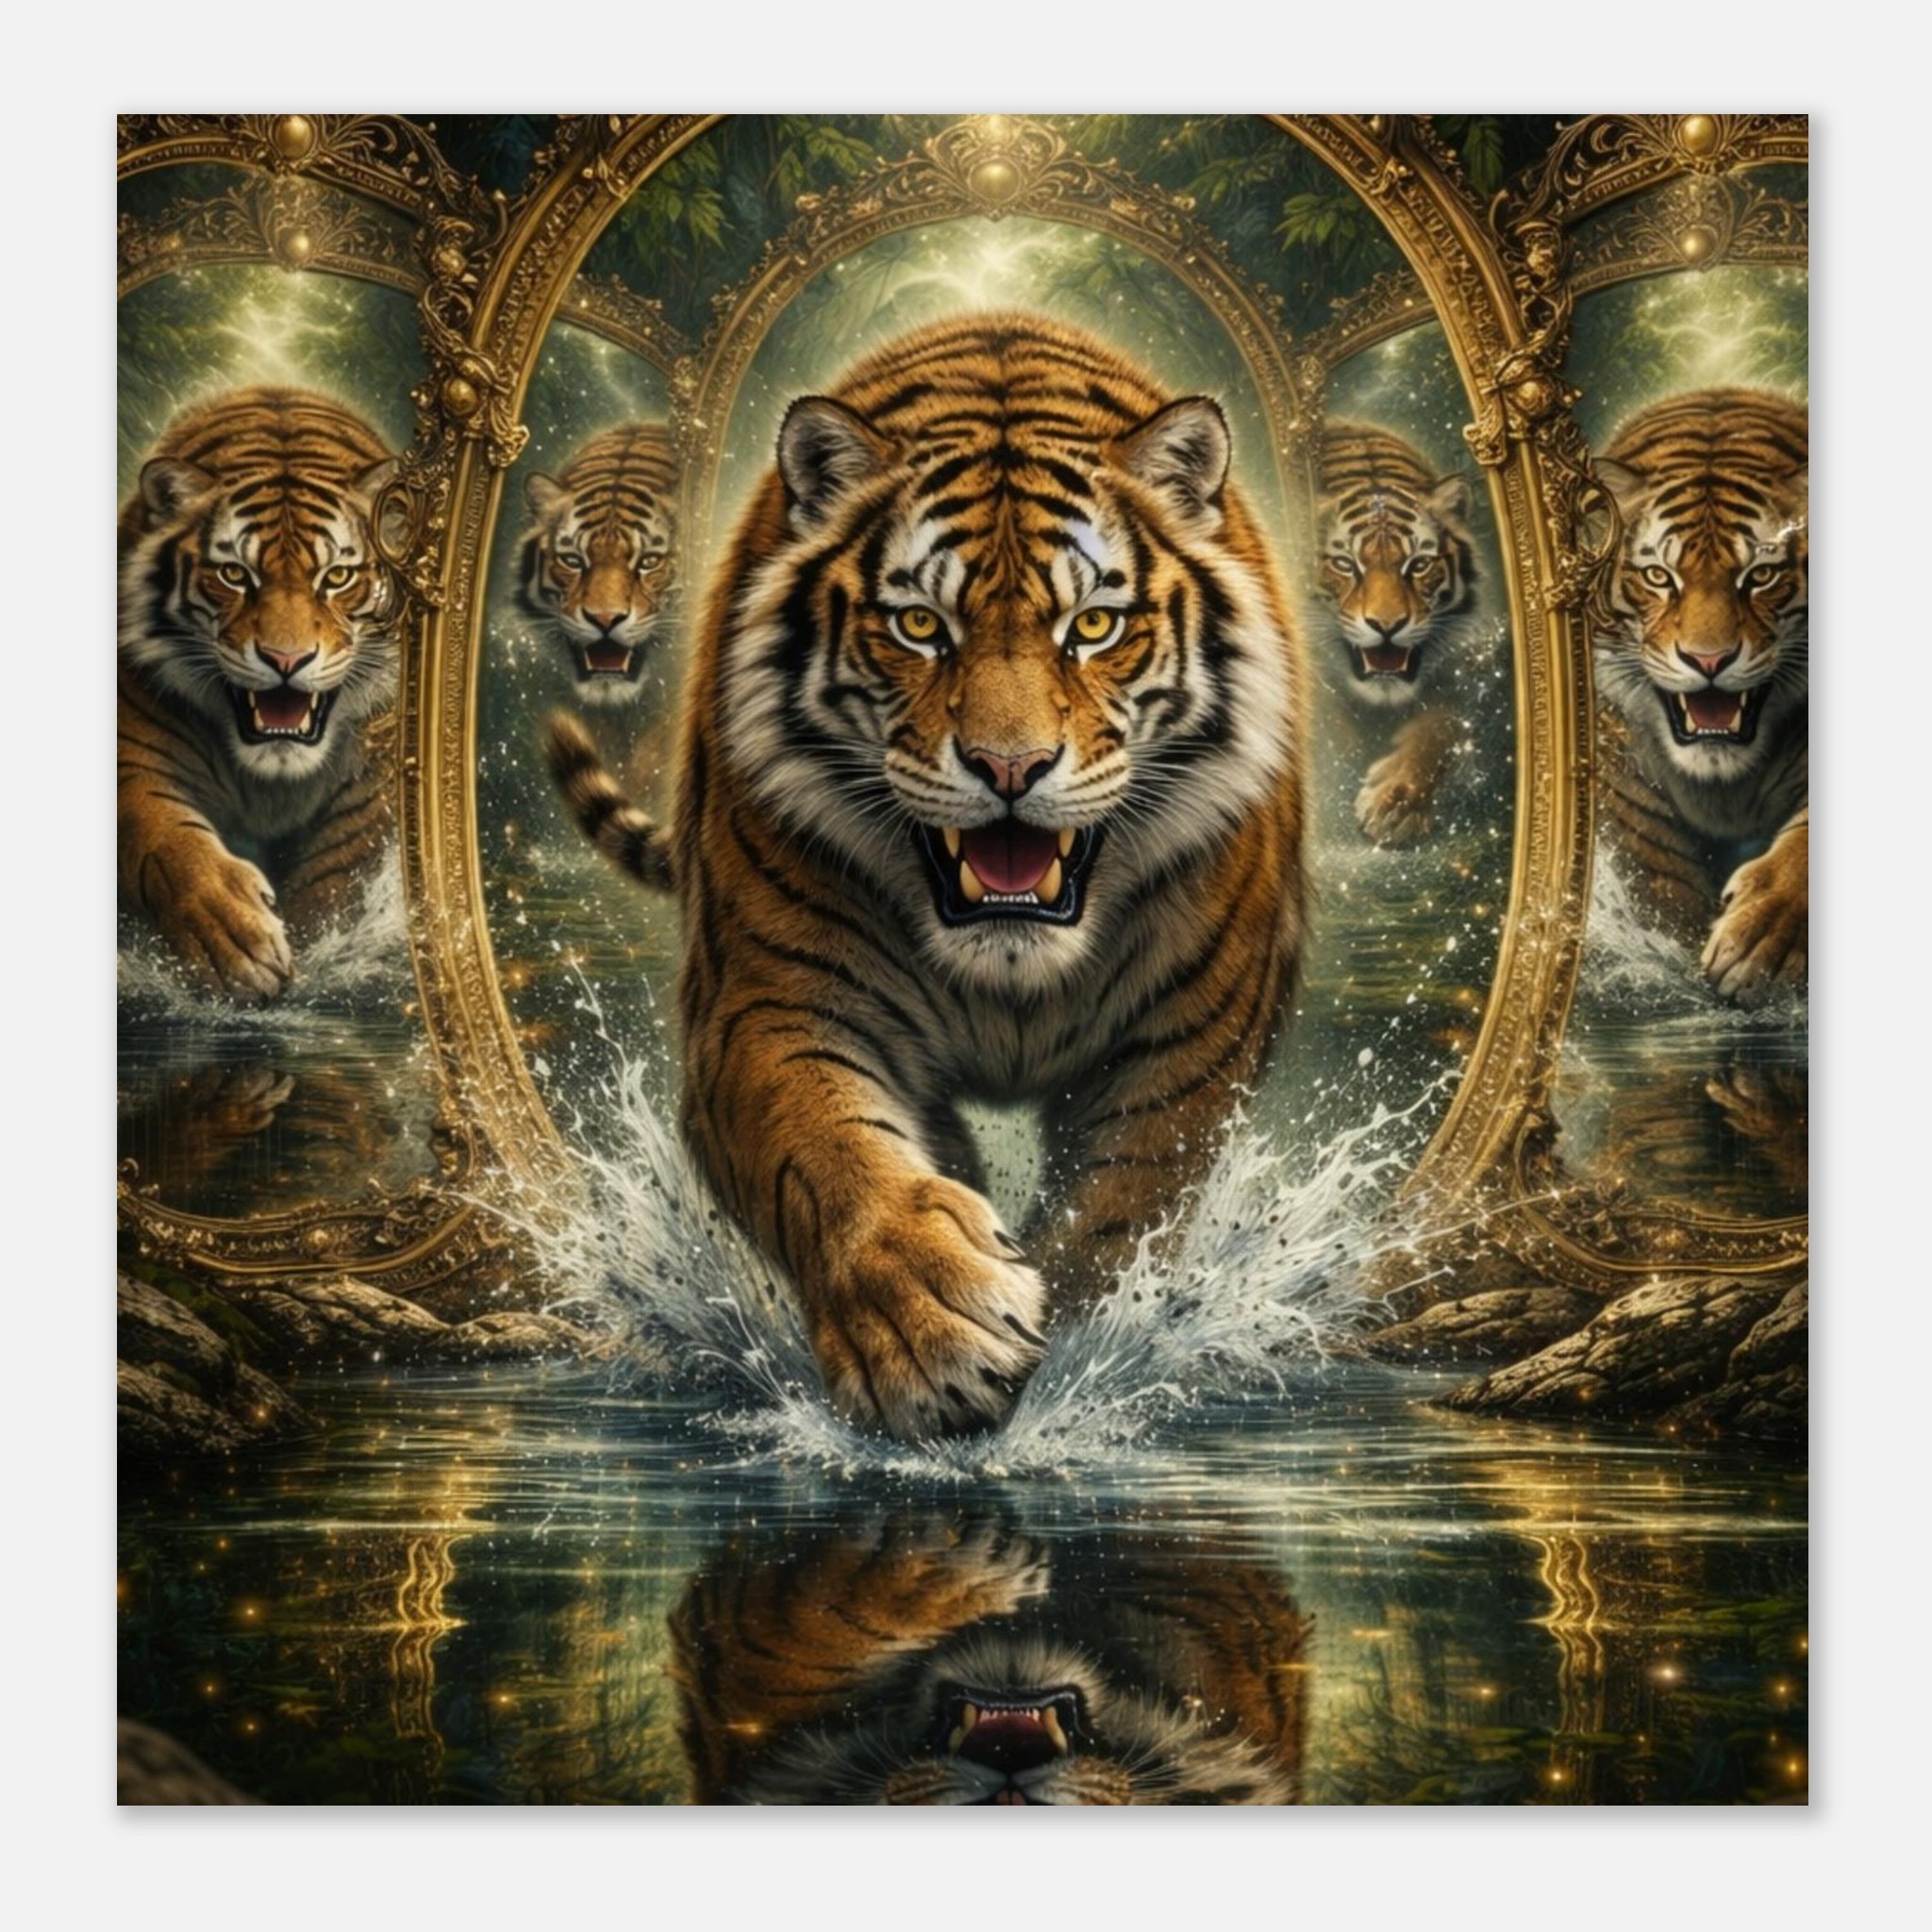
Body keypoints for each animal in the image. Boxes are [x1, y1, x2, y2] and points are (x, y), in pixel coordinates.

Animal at [118, 386, 401, 1002]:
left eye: (337, 578)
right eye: (234, 574)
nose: (286, 661)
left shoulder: (373, 790)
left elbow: (335, 887)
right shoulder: (134, 752)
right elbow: (167, 840)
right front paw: (235, 941)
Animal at [549, 312, 1306, 1441]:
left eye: (1092, 627)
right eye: (919, 627)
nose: (1008, 767)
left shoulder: (1189, 1044)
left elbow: (1119, 1208)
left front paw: (1078, 1356)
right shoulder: (765, 1007)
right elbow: (827, 1149)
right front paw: (929, 1326)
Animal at [1591, 388, 1807, 1005]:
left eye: (1760, 575)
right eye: (1660, 577)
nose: (1708, 661)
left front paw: (1761, 945)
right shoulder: (1628, 795)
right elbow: (1663, 902)